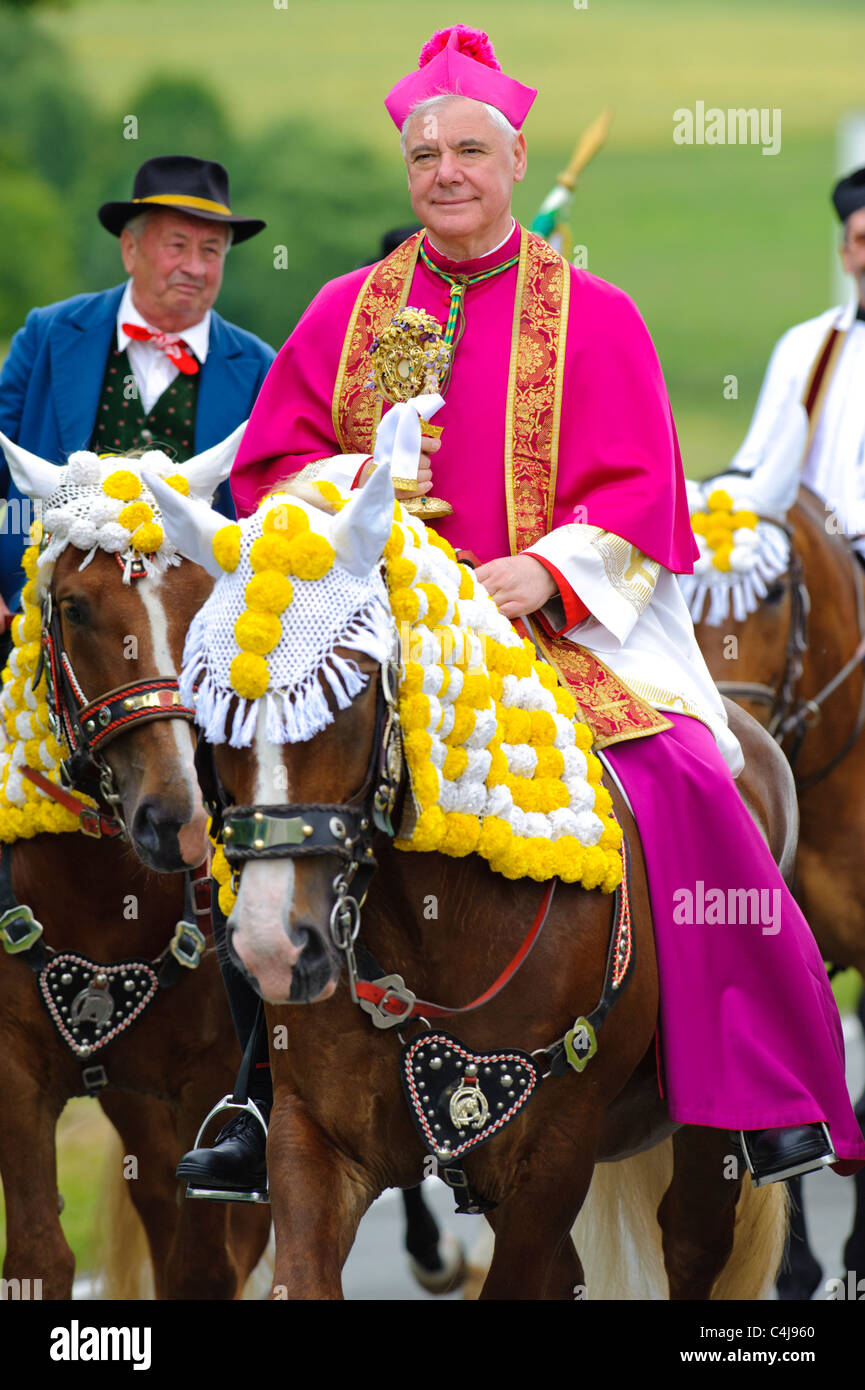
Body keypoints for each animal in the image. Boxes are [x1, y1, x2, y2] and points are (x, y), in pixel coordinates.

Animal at [0, 439, 271, 1295]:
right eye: (75, 608)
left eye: (208, 604)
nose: (174, 823)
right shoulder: (14, 1074)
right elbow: (38, 1257)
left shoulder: (210, 1088)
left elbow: (203, 1266)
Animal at [152, 472, 795, 1295]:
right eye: (208, 692)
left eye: (354, 684)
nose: (273, 947)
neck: (435, 929)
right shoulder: (314, 1139)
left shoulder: (550, 1161)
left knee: (690, 1245)